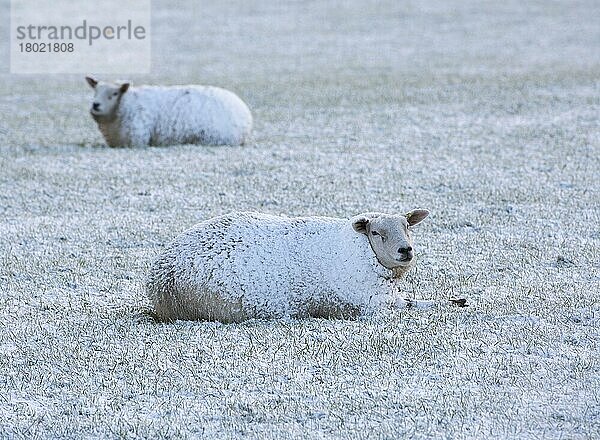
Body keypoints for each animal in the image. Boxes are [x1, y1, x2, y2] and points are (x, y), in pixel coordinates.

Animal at [146, 210, 464, 324]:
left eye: (407, 226)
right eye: (376, 232)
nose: (405, 250)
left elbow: (418, 301)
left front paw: (457, 301)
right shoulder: (369, 306)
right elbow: (410, 308)